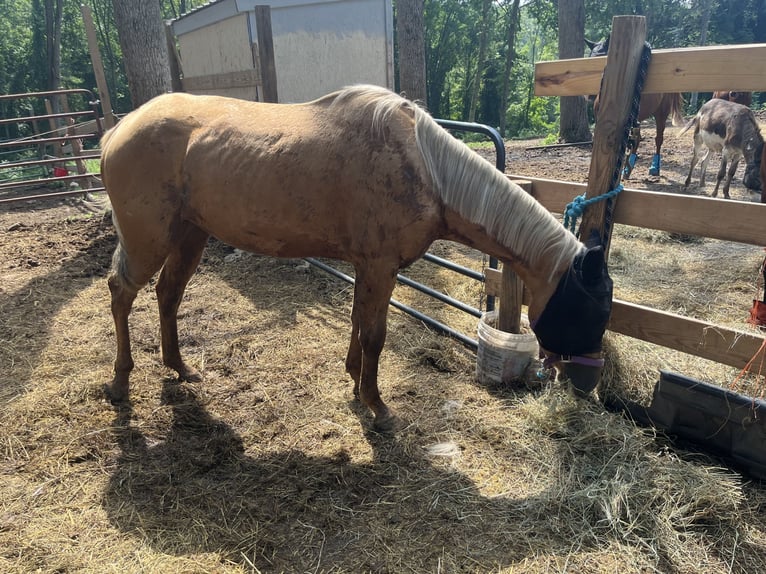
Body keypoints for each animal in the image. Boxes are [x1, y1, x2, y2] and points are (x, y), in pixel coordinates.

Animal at [100, 85, 613, 431]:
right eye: (589, 311)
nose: (587, 386)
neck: (427, 170)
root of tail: (118, 130)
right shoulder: (381, 268)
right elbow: (375, 336)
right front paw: (377, 405)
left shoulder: (367, 268)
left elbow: (356, 323)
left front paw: (353, 384)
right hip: (149, 241)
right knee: (121, 293)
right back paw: (120, 384)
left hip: (189, 237)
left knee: (168, 295)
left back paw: (179, 367)